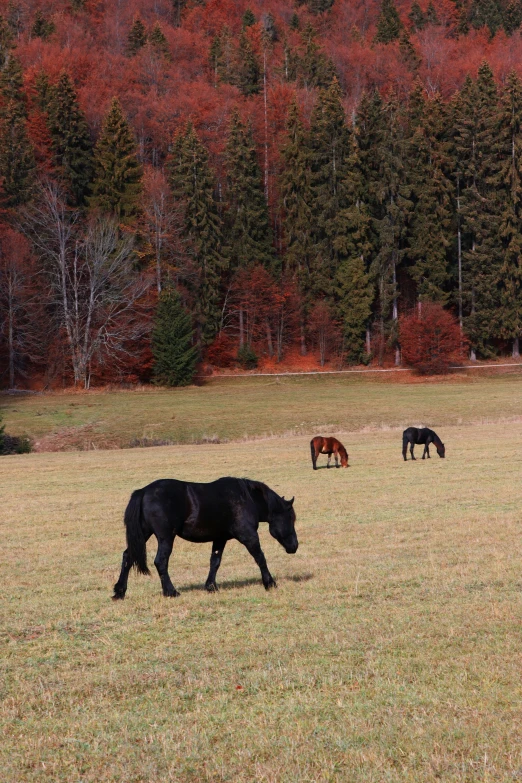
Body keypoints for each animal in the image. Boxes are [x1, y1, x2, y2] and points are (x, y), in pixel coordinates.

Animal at [113, 478, 296, 600]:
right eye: (290, 518)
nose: (294, 546)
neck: (247, 499)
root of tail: (144, 491)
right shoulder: (248, 536)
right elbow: (260, 558)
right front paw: (270, 583)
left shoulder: (220, 539)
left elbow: (215, 562)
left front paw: (211, 586)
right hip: (165, 538)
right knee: (161, 561)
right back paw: (171, 592)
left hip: (143, 535)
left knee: (128, 557)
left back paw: (119, 592)